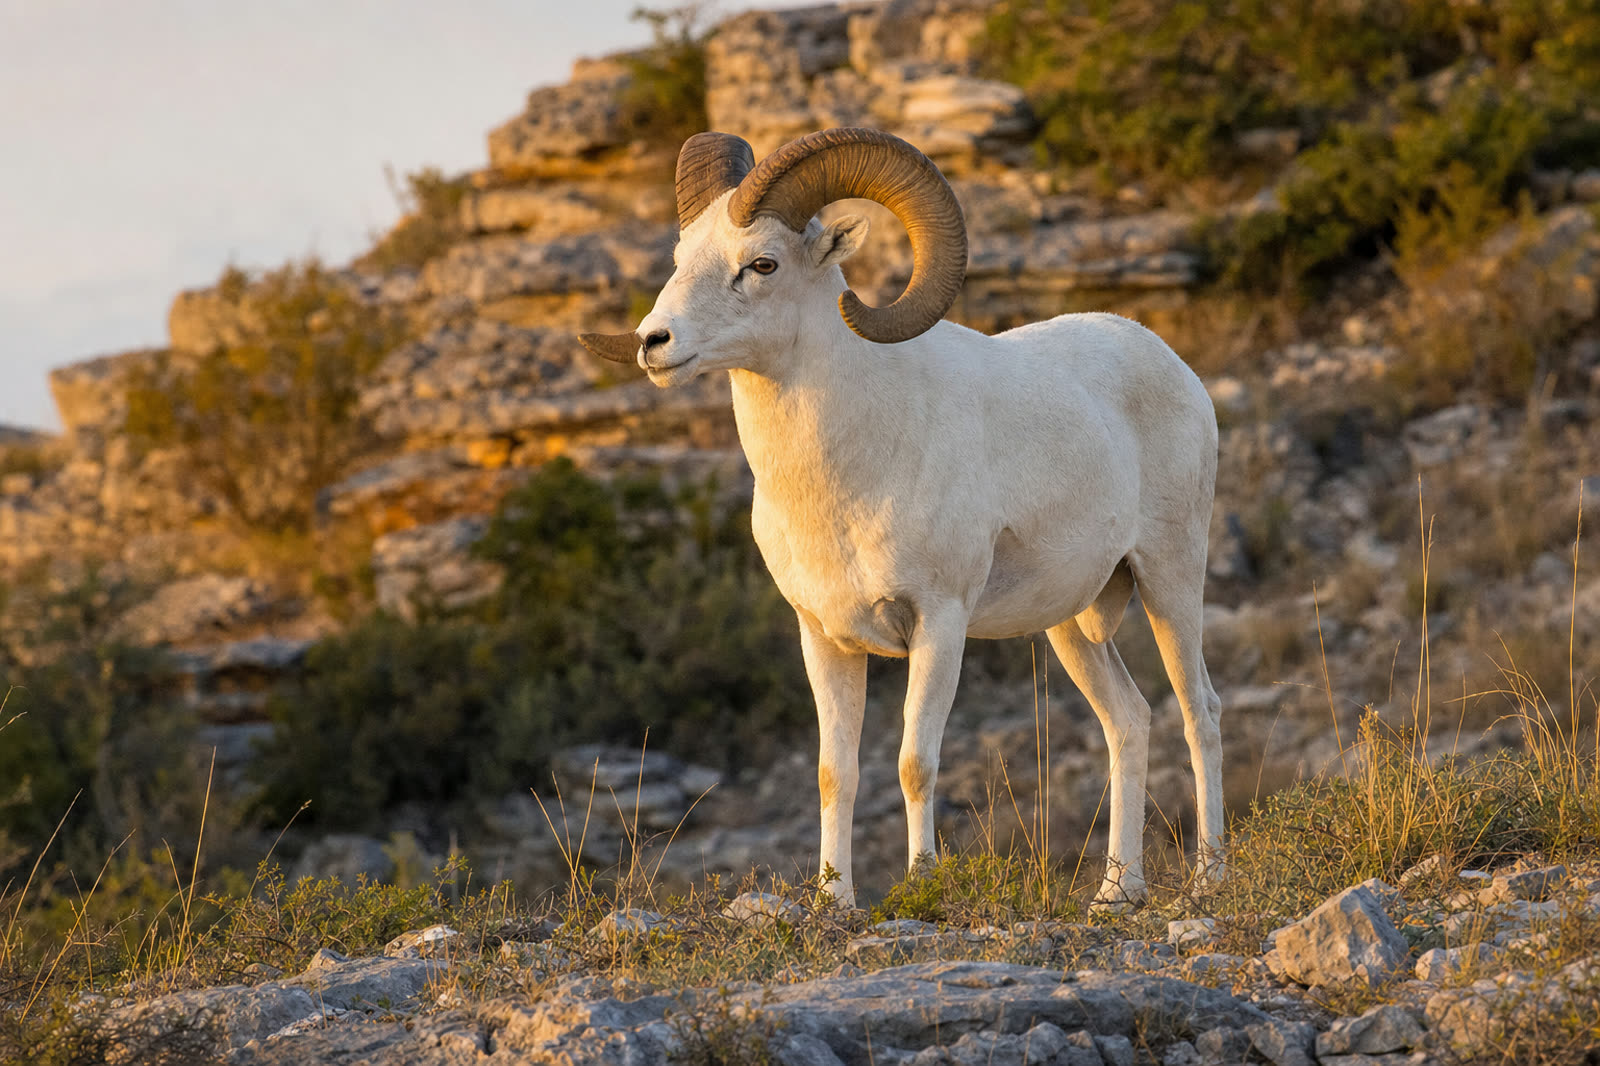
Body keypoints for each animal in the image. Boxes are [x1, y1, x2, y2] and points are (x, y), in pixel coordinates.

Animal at [580, 128, 1222, 909]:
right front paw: (833, 902)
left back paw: (1207, 880)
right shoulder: (825, 640)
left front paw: (925, 887)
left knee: (1199, 713)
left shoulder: (938, 624)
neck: (846, 480)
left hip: (1170, 580)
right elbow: (836, 774)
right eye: (681, 259)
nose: (655, 343)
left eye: (761, 264)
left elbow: (917, 762)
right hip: (1071, 626)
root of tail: (1171, 363)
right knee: (1129, 722)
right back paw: (1115, 894)